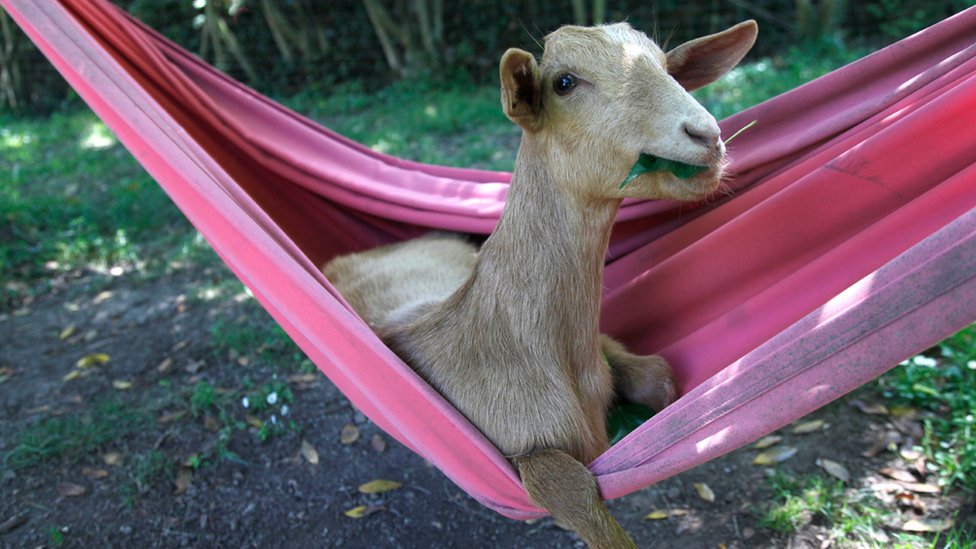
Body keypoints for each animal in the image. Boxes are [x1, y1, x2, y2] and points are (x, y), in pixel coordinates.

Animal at [324, 19, 758, 548]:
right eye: (564, 82)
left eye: (665, 65)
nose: (706, 134)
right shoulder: (521, 447)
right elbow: (569, 490)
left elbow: (656, 375)